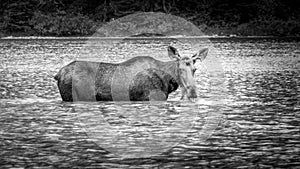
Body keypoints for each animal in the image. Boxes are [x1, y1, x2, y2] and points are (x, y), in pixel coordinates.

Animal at [54, 46, 207, 101]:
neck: (168, 81)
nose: (193, 93)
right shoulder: (152, 97)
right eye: (180, 69)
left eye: (195, 69)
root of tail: (58, 74)